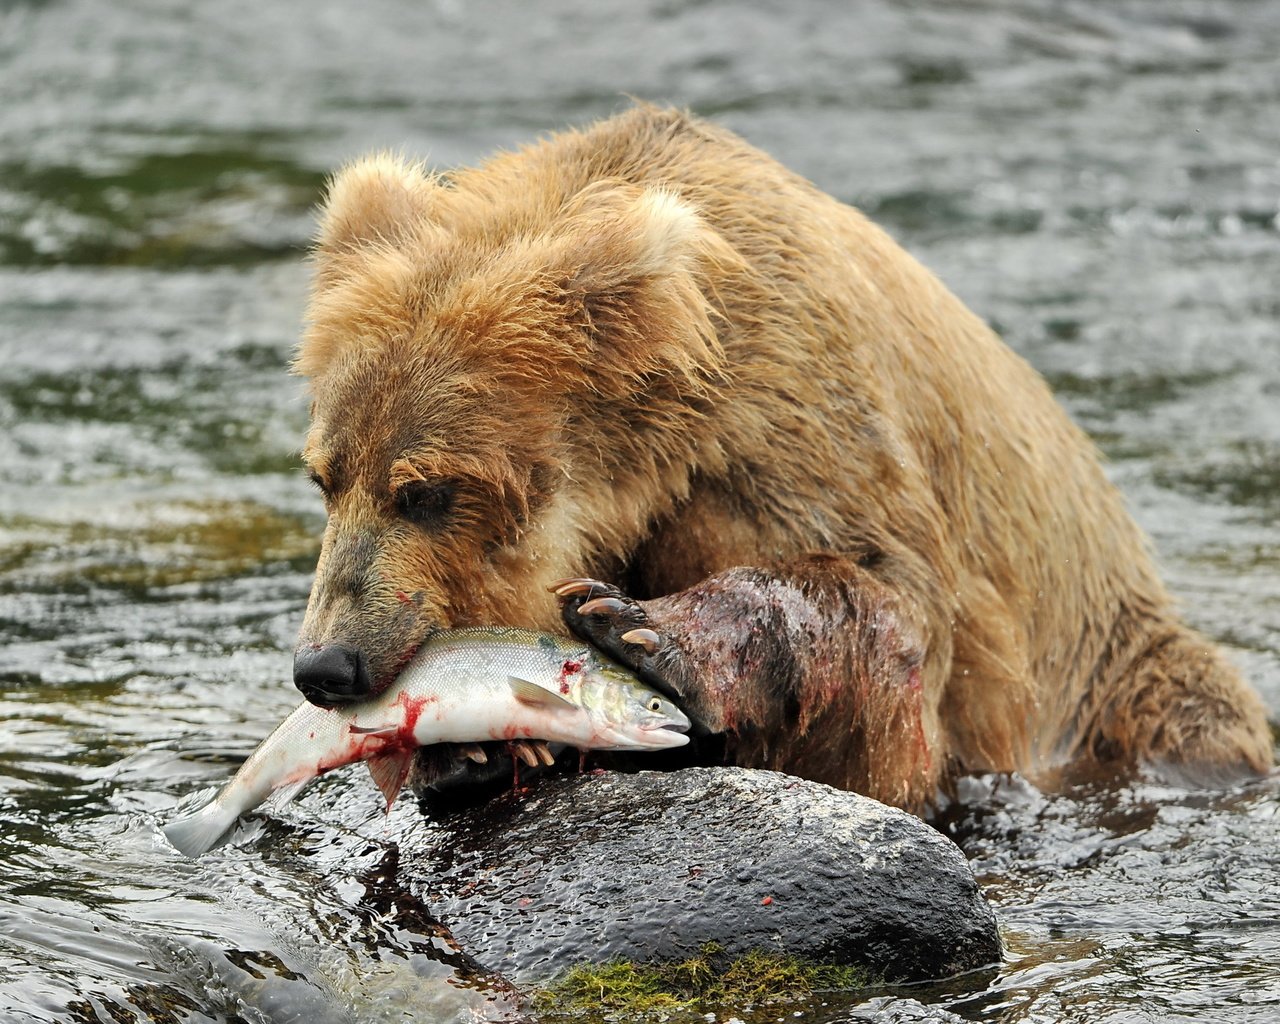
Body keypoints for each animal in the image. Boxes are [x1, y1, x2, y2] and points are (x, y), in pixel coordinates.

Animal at [290, 101, 1269, 808]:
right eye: (326, 477)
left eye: (429, 490)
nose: (326, 666)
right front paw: (469, 750)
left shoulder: (794, 420)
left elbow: (887, 610)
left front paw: (640, 626)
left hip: (1116, 673)